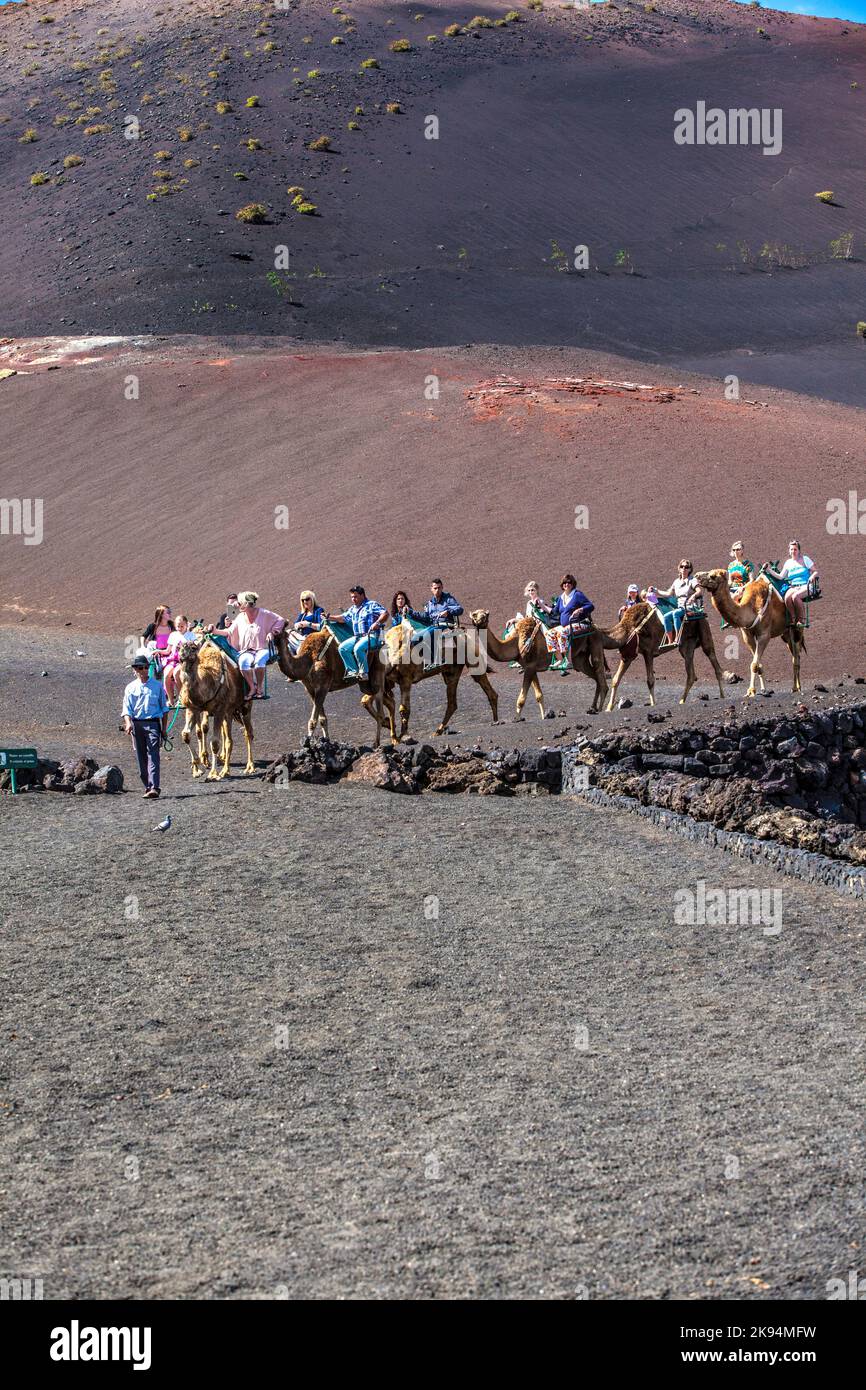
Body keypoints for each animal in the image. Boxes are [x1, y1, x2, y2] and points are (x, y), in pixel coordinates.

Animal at [177, 636, 254, 778]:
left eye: (193, 648)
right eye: (179, 647)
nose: (183, 653)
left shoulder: (219, 710)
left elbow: (215, 742)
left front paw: (213, 773)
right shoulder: (193, 709)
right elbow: (186, 734)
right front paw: (197, 768)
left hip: (245, 705)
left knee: (247, 733)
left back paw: (248, 767)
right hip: (229, 712)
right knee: (228, 737)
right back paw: (225, 767)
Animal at [469, 608, 606, 717]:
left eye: (485, 615)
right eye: (475, 614)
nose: (480, 619)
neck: (516, 642)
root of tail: (594, 626)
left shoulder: (530, 667)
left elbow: (521, 699)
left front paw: (517, 719)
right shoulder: (531, 667)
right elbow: (539, 696)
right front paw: (543, 716)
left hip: (595, 643)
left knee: (600, 675)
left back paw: (601, 709)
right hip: (580, 659)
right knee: (595, 677)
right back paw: (592, 708)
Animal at [594, 600, 722, 711]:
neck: (630, 627)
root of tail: (700, 612)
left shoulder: (648, 652)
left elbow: (650, 680)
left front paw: (653, 704)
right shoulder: (628, 655)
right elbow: (616, 679)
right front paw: (608, 708)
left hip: (703, 628)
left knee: (712, 657)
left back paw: (722, 695)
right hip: (687, 644)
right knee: (690, 673)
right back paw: (681, 701)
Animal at [692, 567, 806, 695]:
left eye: (713, 576)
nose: (696, 576)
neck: (751, 608)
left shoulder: (764, 635)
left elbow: (754, 664)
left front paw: (751, 691)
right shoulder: (747, 635)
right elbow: (757, 664)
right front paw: (759, 689)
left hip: (796, 628)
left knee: (796, 656)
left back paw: (797, 688)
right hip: (785, 634)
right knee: (795, 655)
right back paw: (795, 687)